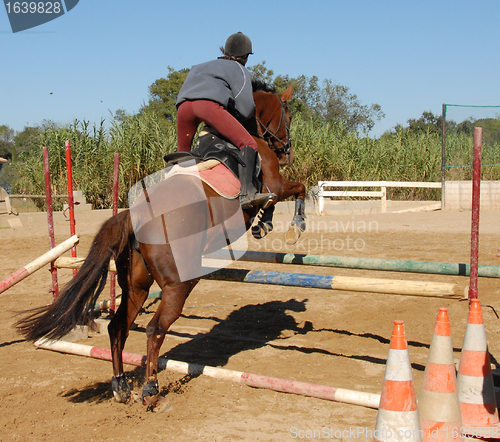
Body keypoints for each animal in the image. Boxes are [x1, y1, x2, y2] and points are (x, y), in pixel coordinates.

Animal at [15, 82, 306, 408]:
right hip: (179, 283)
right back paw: (151, 389)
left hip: (137, 285)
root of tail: (136, 216)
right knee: (155, 329)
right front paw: (289, 226)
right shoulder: (276, 184)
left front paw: (264, 224)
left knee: (118, 326)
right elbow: (296, 189)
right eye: (288, 116)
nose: (288, 153)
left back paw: (121, 386)